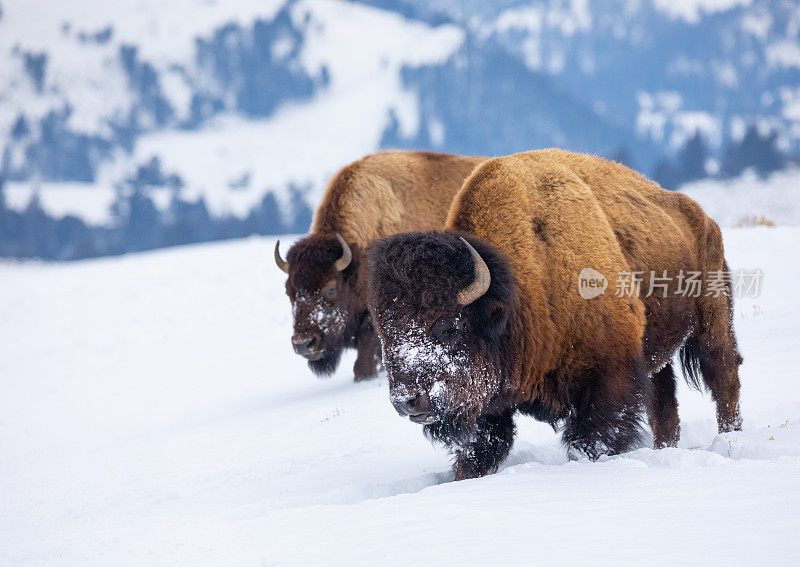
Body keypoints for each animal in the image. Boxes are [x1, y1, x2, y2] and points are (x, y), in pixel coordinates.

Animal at [368, 150, 744, 480]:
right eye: (386, 335)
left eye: (447, 326)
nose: (407, 401)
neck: (523, 283)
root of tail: (702, 218)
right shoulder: (491, 408)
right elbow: (478, 454)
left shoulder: (607, 382)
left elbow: (590, 441)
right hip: (657, 351)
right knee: (664, 402)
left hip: (712, 323)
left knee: (724, 375)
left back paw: (730, 442)